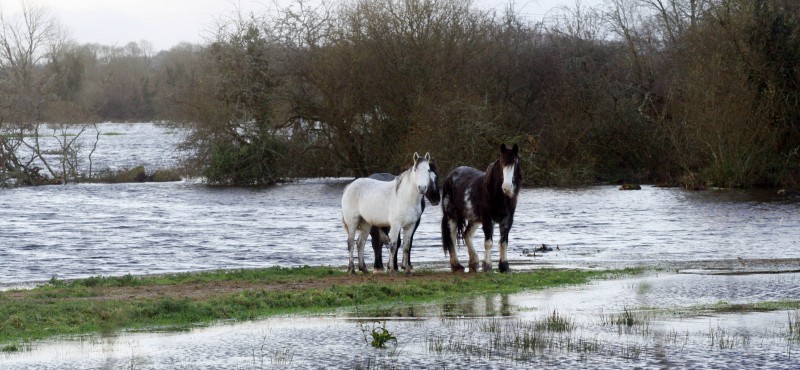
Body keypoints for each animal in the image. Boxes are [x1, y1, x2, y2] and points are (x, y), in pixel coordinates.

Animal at [440, 143, 520, 274]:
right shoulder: (487, 220)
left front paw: (504, 266)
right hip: (451, 216)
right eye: (502, 162)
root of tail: (450, 176)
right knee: (451, 237)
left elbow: (504, 242)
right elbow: (488, 242)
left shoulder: (507, 220)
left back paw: (474, 262)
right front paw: (487, 266)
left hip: (474, 219)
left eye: (515, 162)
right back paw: (457, 265)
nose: (507, 187)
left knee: (467, 235)